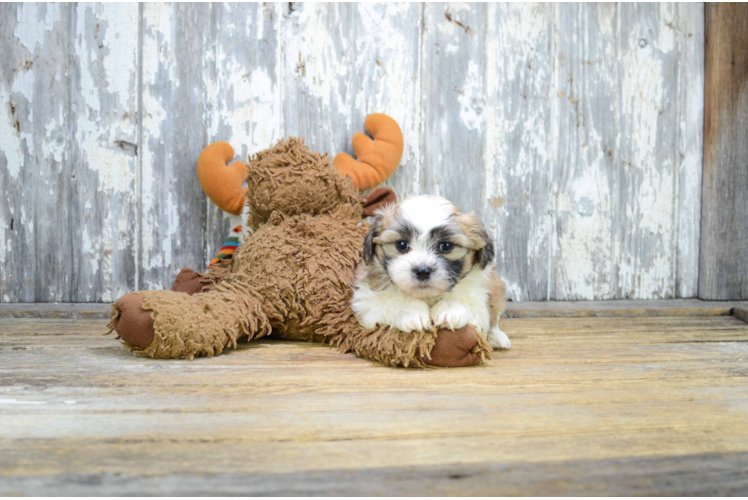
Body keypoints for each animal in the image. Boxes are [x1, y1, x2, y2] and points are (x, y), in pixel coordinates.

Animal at [354, 193, 512, 350]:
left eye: (446, 246)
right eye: (402, 245)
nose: (422, 271)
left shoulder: (480, 295)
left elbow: (470, 301)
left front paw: (450, 310)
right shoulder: (366, 301)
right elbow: (388, 300)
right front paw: (410, 311)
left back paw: (497, 337)